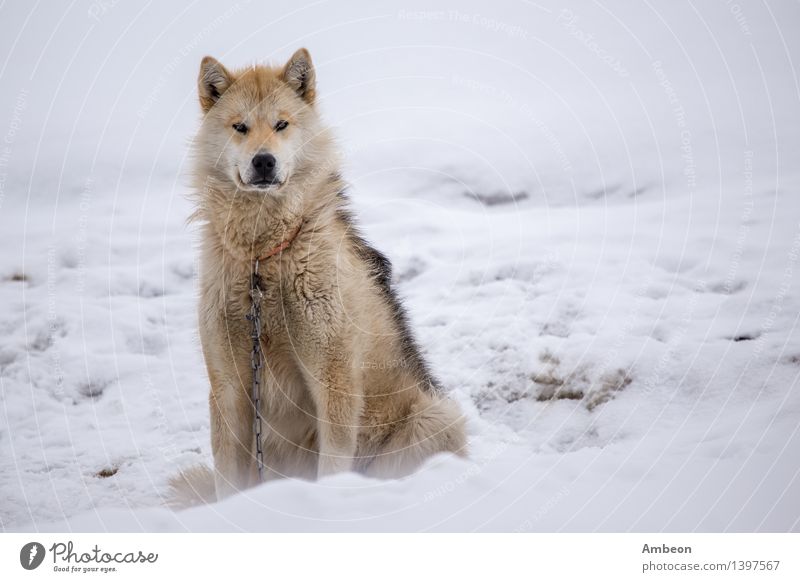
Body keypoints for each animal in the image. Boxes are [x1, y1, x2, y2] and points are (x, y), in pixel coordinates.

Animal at [172, 50, 466, 506]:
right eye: (240, 127)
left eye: (281, 124)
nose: (263, 161)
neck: (264, 263)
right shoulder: (228, 387)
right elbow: (228, 481)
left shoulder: (334, 380)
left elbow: (332, 465)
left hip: (434, 417)